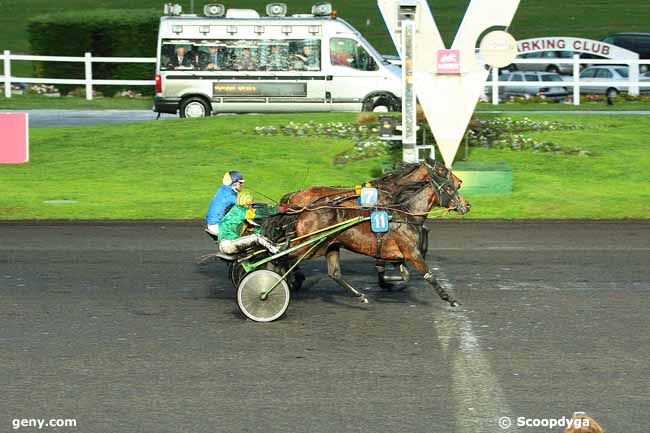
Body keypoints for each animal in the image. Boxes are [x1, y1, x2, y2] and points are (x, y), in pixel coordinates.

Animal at [260, 167, 468, 306]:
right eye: (450, 187)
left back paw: (358, 295)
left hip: (329, 245)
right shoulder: (412, 253)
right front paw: (450, 299)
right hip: (310, 246)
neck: (405, 213)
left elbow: (403, 274)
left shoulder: (396, 254)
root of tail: (301, 207)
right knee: (281, 257)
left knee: (333, 273)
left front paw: (390, 284)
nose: (466, 205)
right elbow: (428, 275)